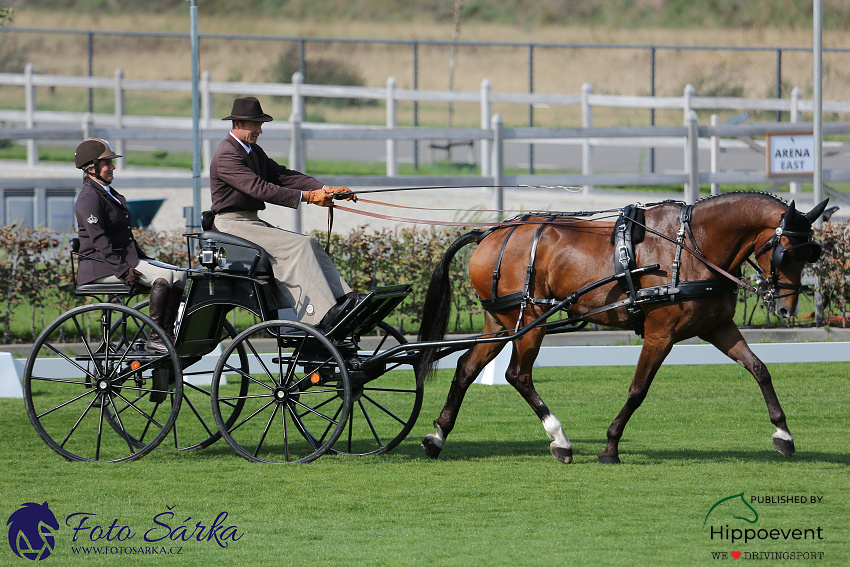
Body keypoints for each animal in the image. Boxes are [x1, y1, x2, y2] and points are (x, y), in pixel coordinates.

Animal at [414, 193, 824, 464]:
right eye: (785, 251)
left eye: (811, 254)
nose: (786, 308)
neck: (690, 248)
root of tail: (489, 234)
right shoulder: (661, 334)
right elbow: (638, 389)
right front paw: (610, 446)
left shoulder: (718, 327)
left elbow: (759, 369)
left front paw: (783, 433)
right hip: (529, 320)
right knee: (518, 374)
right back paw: (559, 438)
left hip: (501, 322)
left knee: (467, 368)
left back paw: (437, 436)